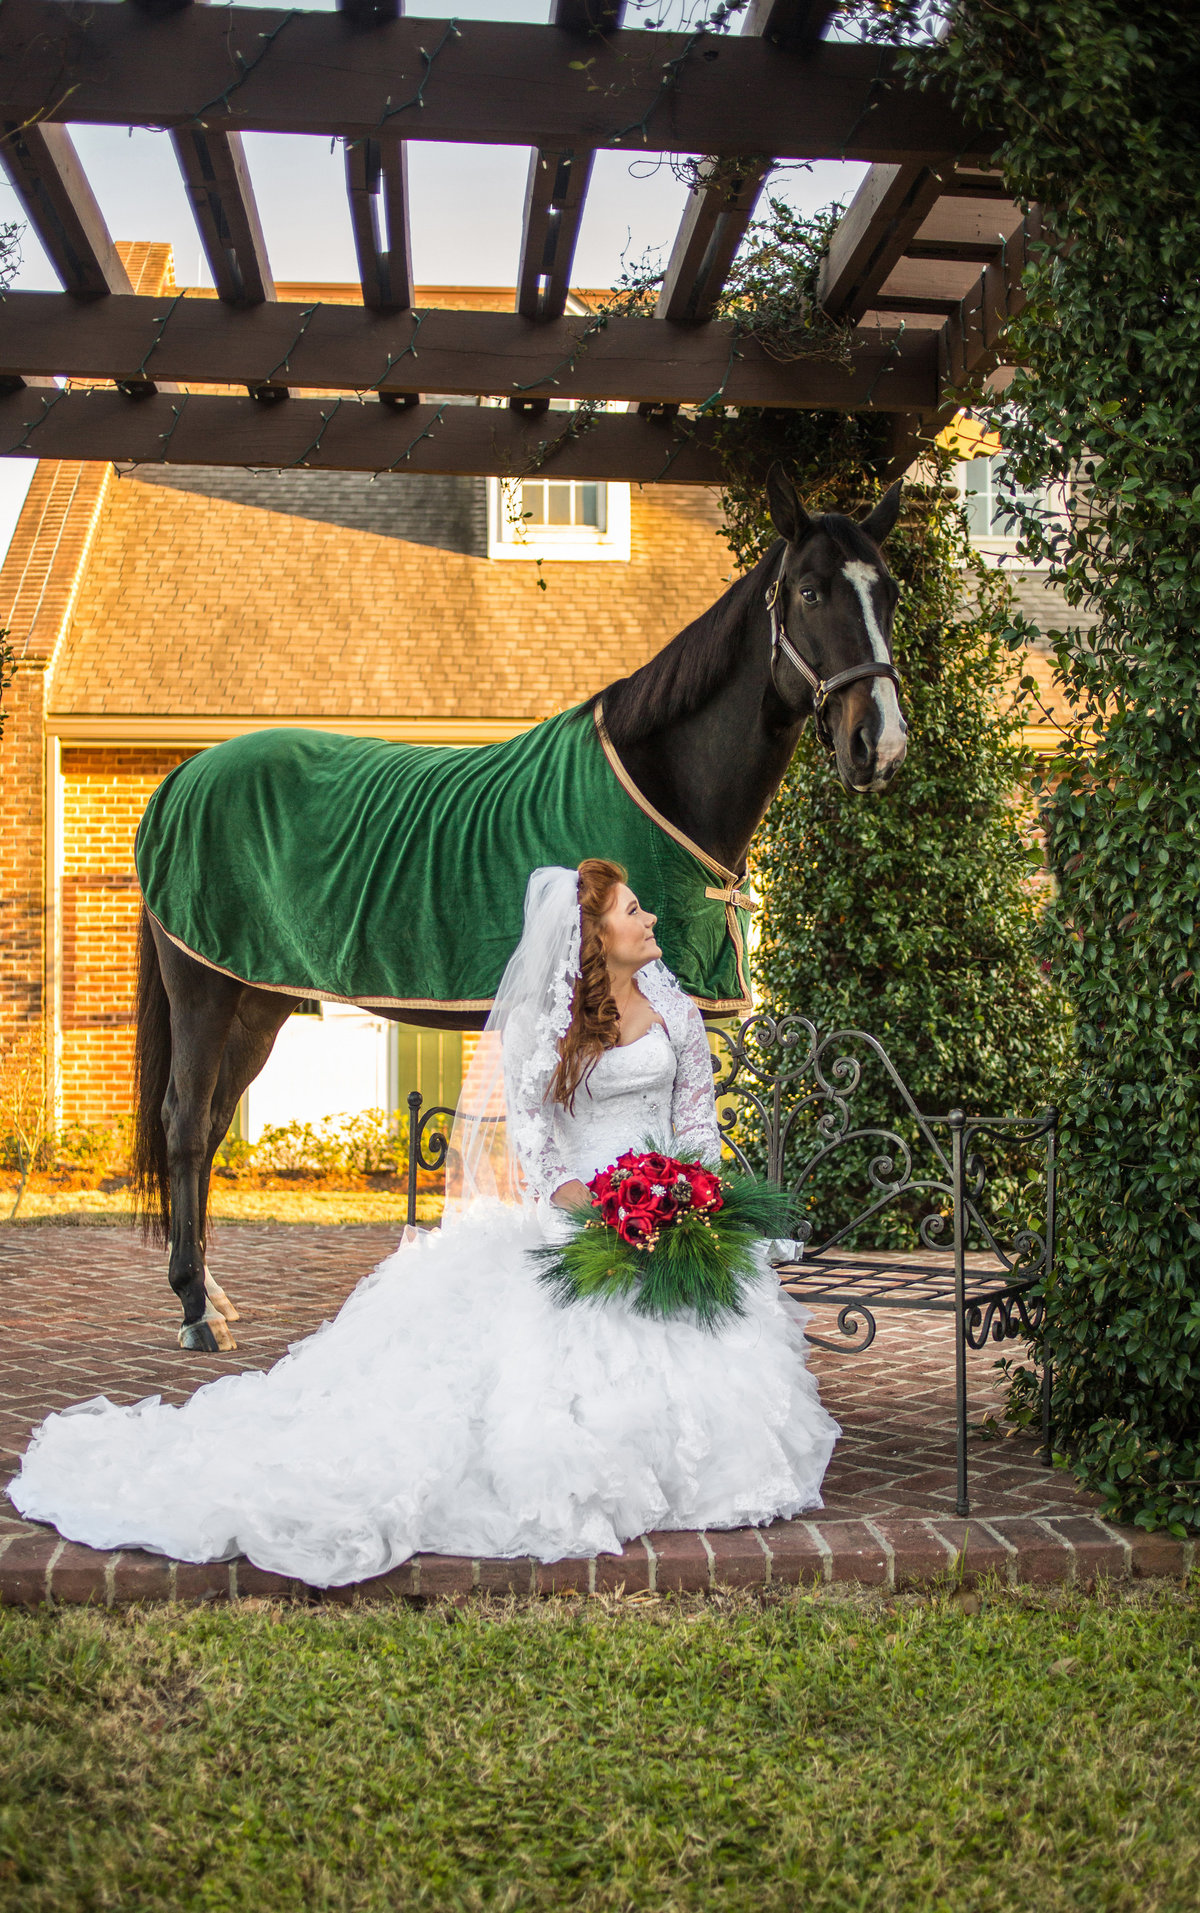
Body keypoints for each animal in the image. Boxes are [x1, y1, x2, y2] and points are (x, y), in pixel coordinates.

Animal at [131, 470, 907, 1354]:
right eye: (809, 590)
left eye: (888, 592)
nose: (879, 744)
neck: (659, 789)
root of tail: (180, 781)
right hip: (203, 990)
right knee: (187, 1123)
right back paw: (196, 1309)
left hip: (254, 997)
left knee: (215, 1117)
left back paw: (215, 1297)